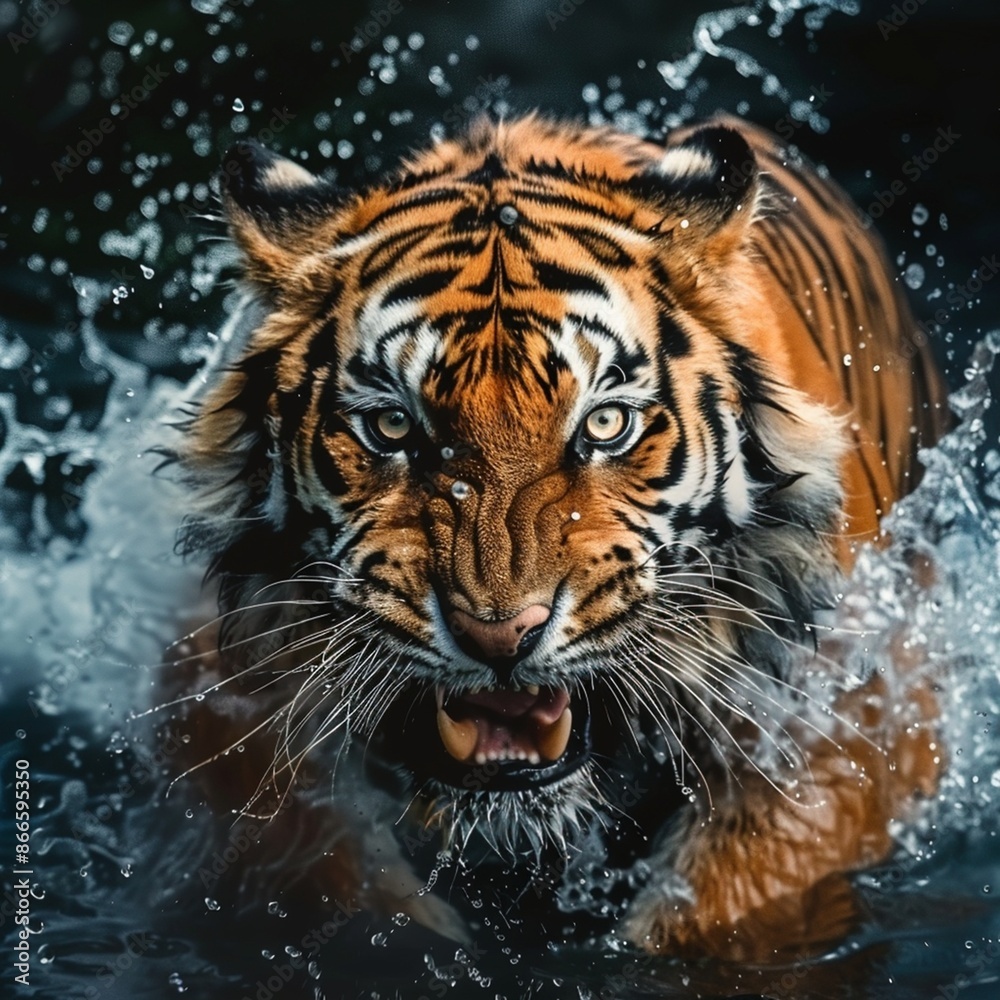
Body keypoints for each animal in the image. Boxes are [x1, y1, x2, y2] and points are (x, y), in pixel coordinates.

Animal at [168, 112, 950, 961]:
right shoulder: (225, 693)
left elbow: (732, 890)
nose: (500, 636)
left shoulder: (848, 707)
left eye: (604, 426)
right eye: (393, 427)